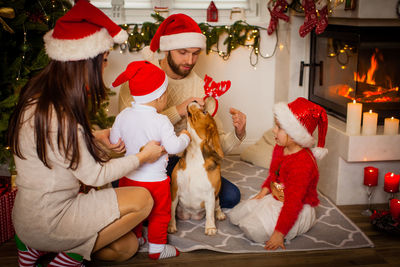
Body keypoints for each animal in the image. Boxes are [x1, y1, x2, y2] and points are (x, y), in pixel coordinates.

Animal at [168, 101, 225, 236]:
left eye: (205, 112)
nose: (194, 101)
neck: (194, 154)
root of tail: (192, 216)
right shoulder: (174, 191)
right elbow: (171, 212)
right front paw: (171, 226)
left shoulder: (210, 194)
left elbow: (210, 214)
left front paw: (210, 227)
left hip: (217, 198)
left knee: (217, 207)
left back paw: (220, 214)